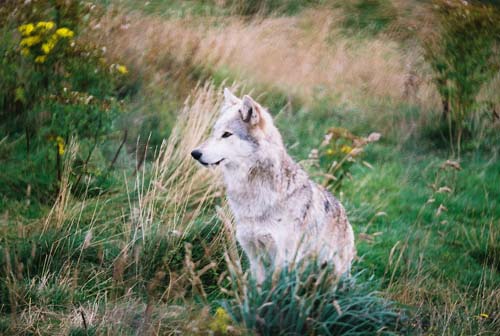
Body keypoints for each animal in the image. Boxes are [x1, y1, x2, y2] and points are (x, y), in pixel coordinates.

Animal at [191, 88, 356, 282]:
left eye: (226, 134)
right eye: (214, 132)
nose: (194, 153)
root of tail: (345, 215)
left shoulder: (283, 258)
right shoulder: (253, 255)